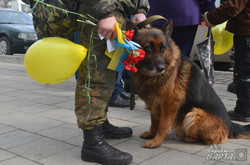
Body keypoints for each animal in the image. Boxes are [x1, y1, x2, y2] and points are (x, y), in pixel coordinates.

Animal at [127, 20, 250, 148]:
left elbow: (163, 126)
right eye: (148, 49)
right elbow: (154, 121)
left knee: (208, 140)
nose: (162, 68)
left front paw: (157, 141)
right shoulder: (153, 103)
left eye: (163, 49)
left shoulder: (169, 104)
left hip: (193, 114)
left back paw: (187, 138)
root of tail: (230, 124)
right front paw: (151, 133)